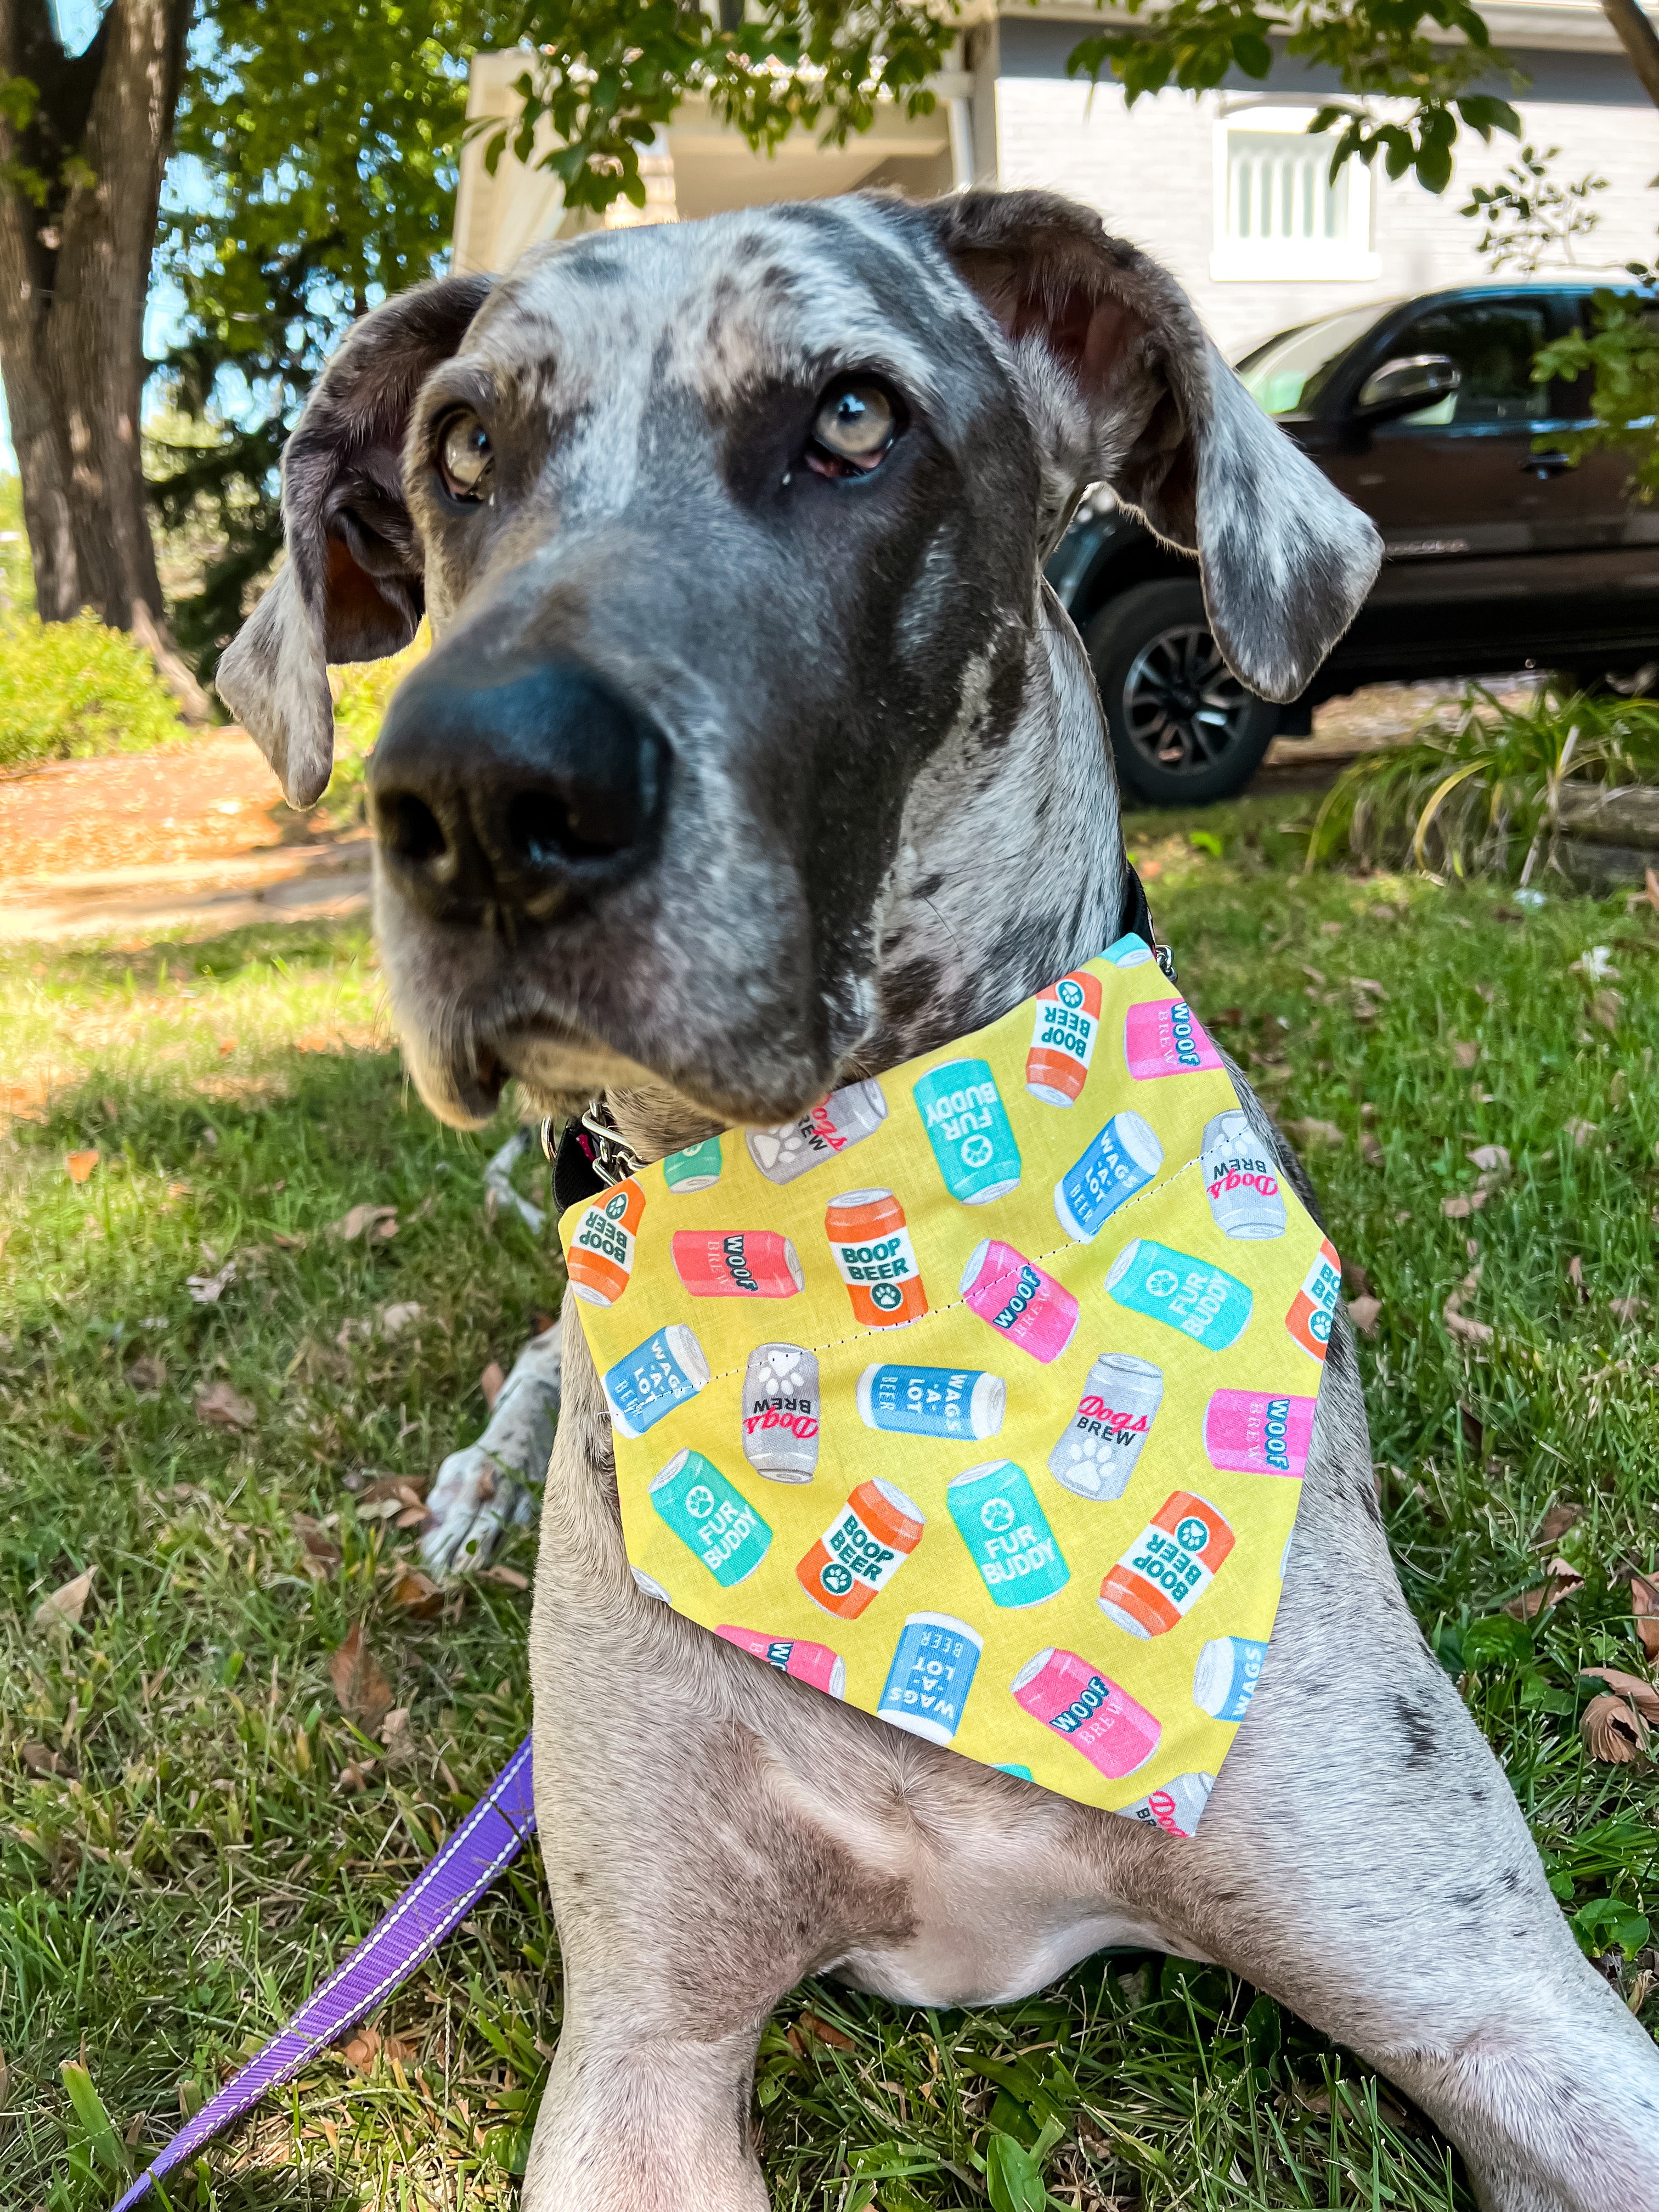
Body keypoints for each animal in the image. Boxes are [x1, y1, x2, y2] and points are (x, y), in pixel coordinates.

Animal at [221, 190, 1659, 2212]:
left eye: (852, 417)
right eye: (465, 450)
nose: (474, 794)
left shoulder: (1497, 2004)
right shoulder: (644, 2049)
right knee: (523, 1371)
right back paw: (474, 1496)